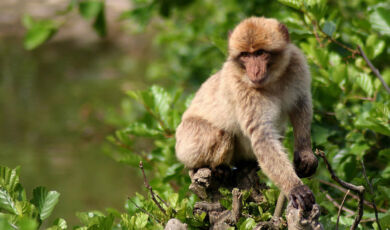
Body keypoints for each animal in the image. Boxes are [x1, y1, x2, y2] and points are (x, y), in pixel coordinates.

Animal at [175, 16, 318, 212]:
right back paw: (213, 168)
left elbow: (301, 104)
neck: (271, 80)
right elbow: (262, 138)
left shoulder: (297, 63)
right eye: (245, 55)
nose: (255, 71)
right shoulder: (243, 89)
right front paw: (294, 187)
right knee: (221, 134)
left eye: (259, 53)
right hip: (187, 142)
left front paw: (305, 153)